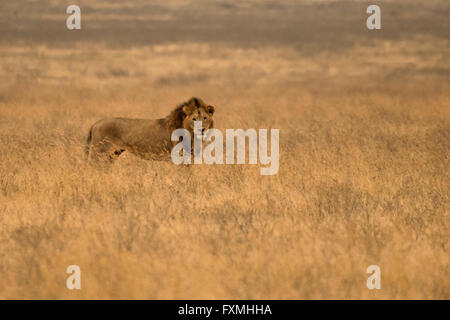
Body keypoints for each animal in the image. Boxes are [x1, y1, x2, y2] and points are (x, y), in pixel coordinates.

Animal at [87, 97, 216, 162]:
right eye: (194, 119)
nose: (202, 129)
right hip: (99, 153)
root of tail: (95, 124)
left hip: (112, 155)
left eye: (205, 118)